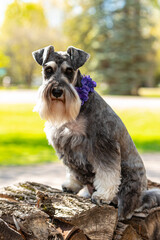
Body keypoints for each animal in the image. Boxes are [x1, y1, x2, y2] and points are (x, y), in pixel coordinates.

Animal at [32, 44, 160, 219]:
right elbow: (73, 170)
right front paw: (71, 185)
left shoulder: (102, 145)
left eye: (69, 71)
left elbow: (108, 173)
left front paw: (102, 196)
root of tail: (141, 197)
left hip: (130, 181)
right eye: (48, 70)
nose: (57, 91)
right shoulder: (66, 145)